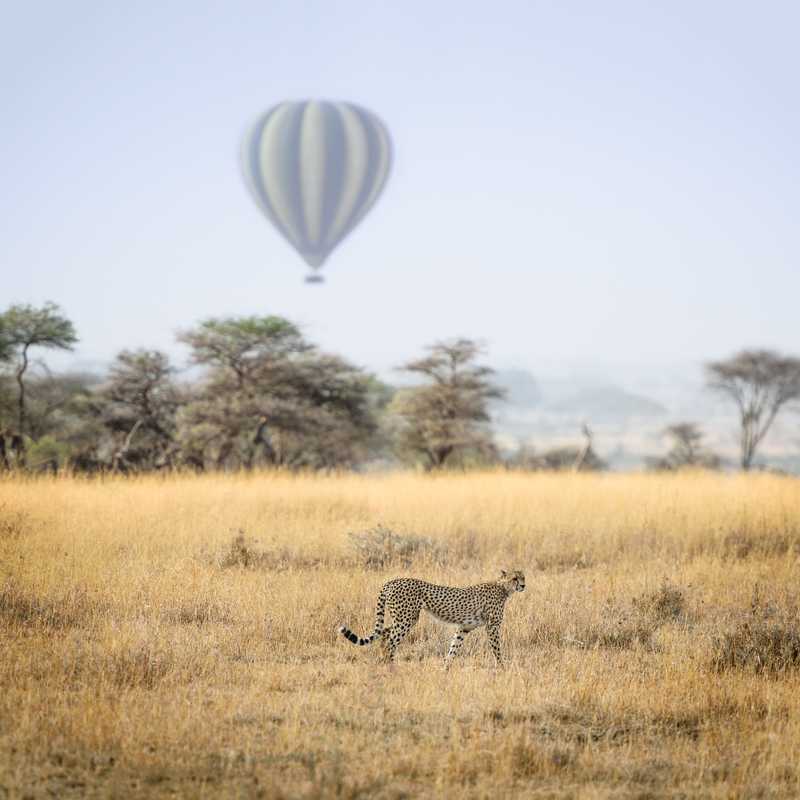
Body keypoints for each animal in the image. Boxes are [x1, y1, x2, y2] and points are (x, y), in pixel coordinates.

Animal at [338, 568, 524, 668]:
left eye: (523, 577)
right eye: (515, 578)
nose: (523, 585)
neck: (503, 588)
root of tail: (390, 582)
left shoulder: (464, 628)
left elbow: (454, 648)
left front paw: (445, 668)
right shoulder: (492, 627)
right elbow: (497, 649)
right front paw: (502, 667)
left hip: (403, 618)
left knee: (384, 633)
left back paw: (386, 662)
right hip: (407, 619)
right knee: (390, 640)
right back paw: (390, 665)